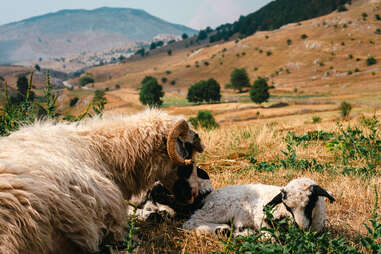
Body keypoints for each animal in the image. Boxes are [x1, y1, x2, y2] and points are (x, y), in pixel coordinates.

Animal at [183, 177, 334, 236]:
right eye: (288, 207)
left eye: (310, 203)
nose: (302, 227)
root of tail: (210, 195)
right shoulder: (259, 214)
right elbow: (270, 236)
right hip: (219, 209)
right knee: (191, 222)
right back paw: (222, 230)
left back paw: (225, 230)